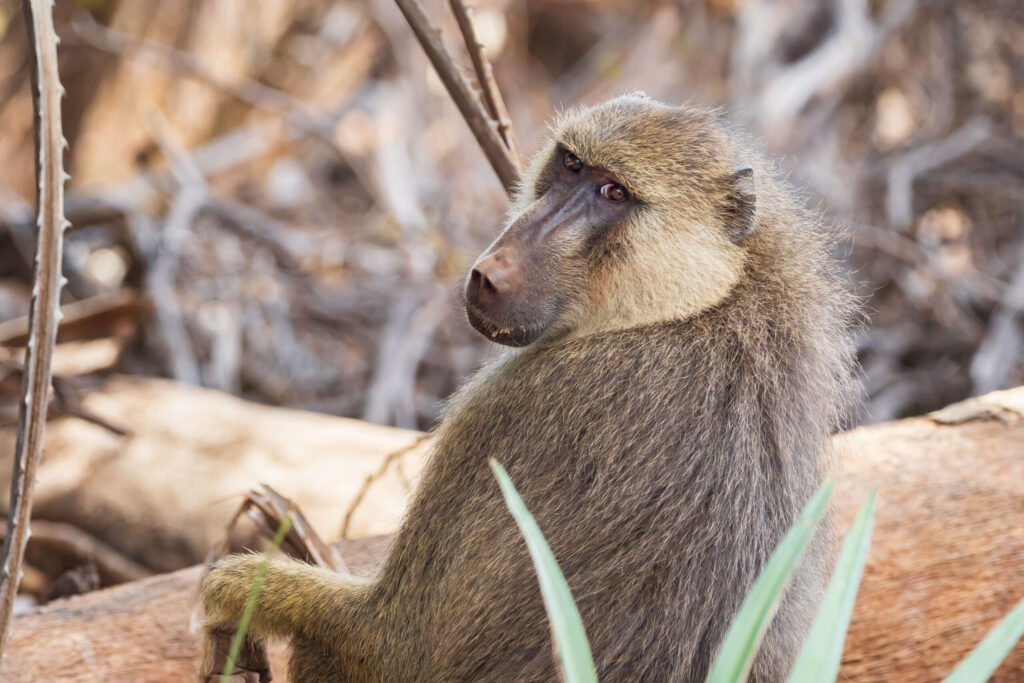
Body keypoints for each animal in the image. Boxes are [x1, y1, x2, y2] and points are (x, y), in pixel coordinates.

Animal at [199, 93, 859, 682]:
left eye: (614, 193)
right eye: (570, 165)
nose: (489, 274)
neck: (705, 306)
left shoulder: (510, 411)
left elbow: (395, 647)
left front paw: (233, 593)